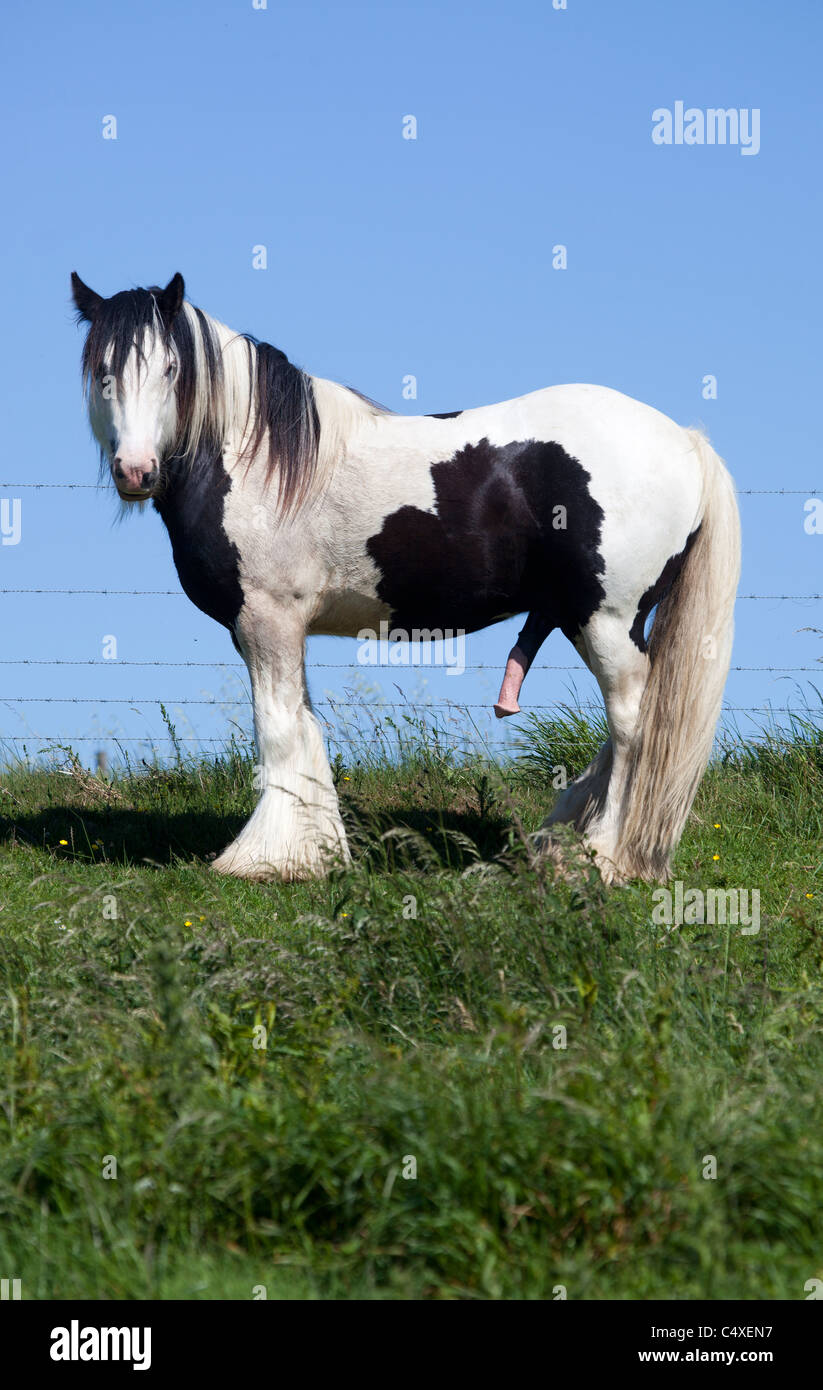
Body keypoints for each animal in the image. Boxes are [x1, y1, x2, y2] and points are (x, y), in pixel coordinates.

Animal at [71, 271, 741, 885]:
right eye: (103, 371)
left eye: (170, 369)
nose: (136, 470)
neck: (256, 459)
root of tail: (685, 443)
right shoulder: (281, 628)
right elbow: (305, 726)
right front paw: (316, 850)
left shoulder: (267, 617)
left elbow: (278, 730)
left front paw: (266, 859)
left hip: (606, 620)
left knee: (631, 727)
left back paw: (601, 858)